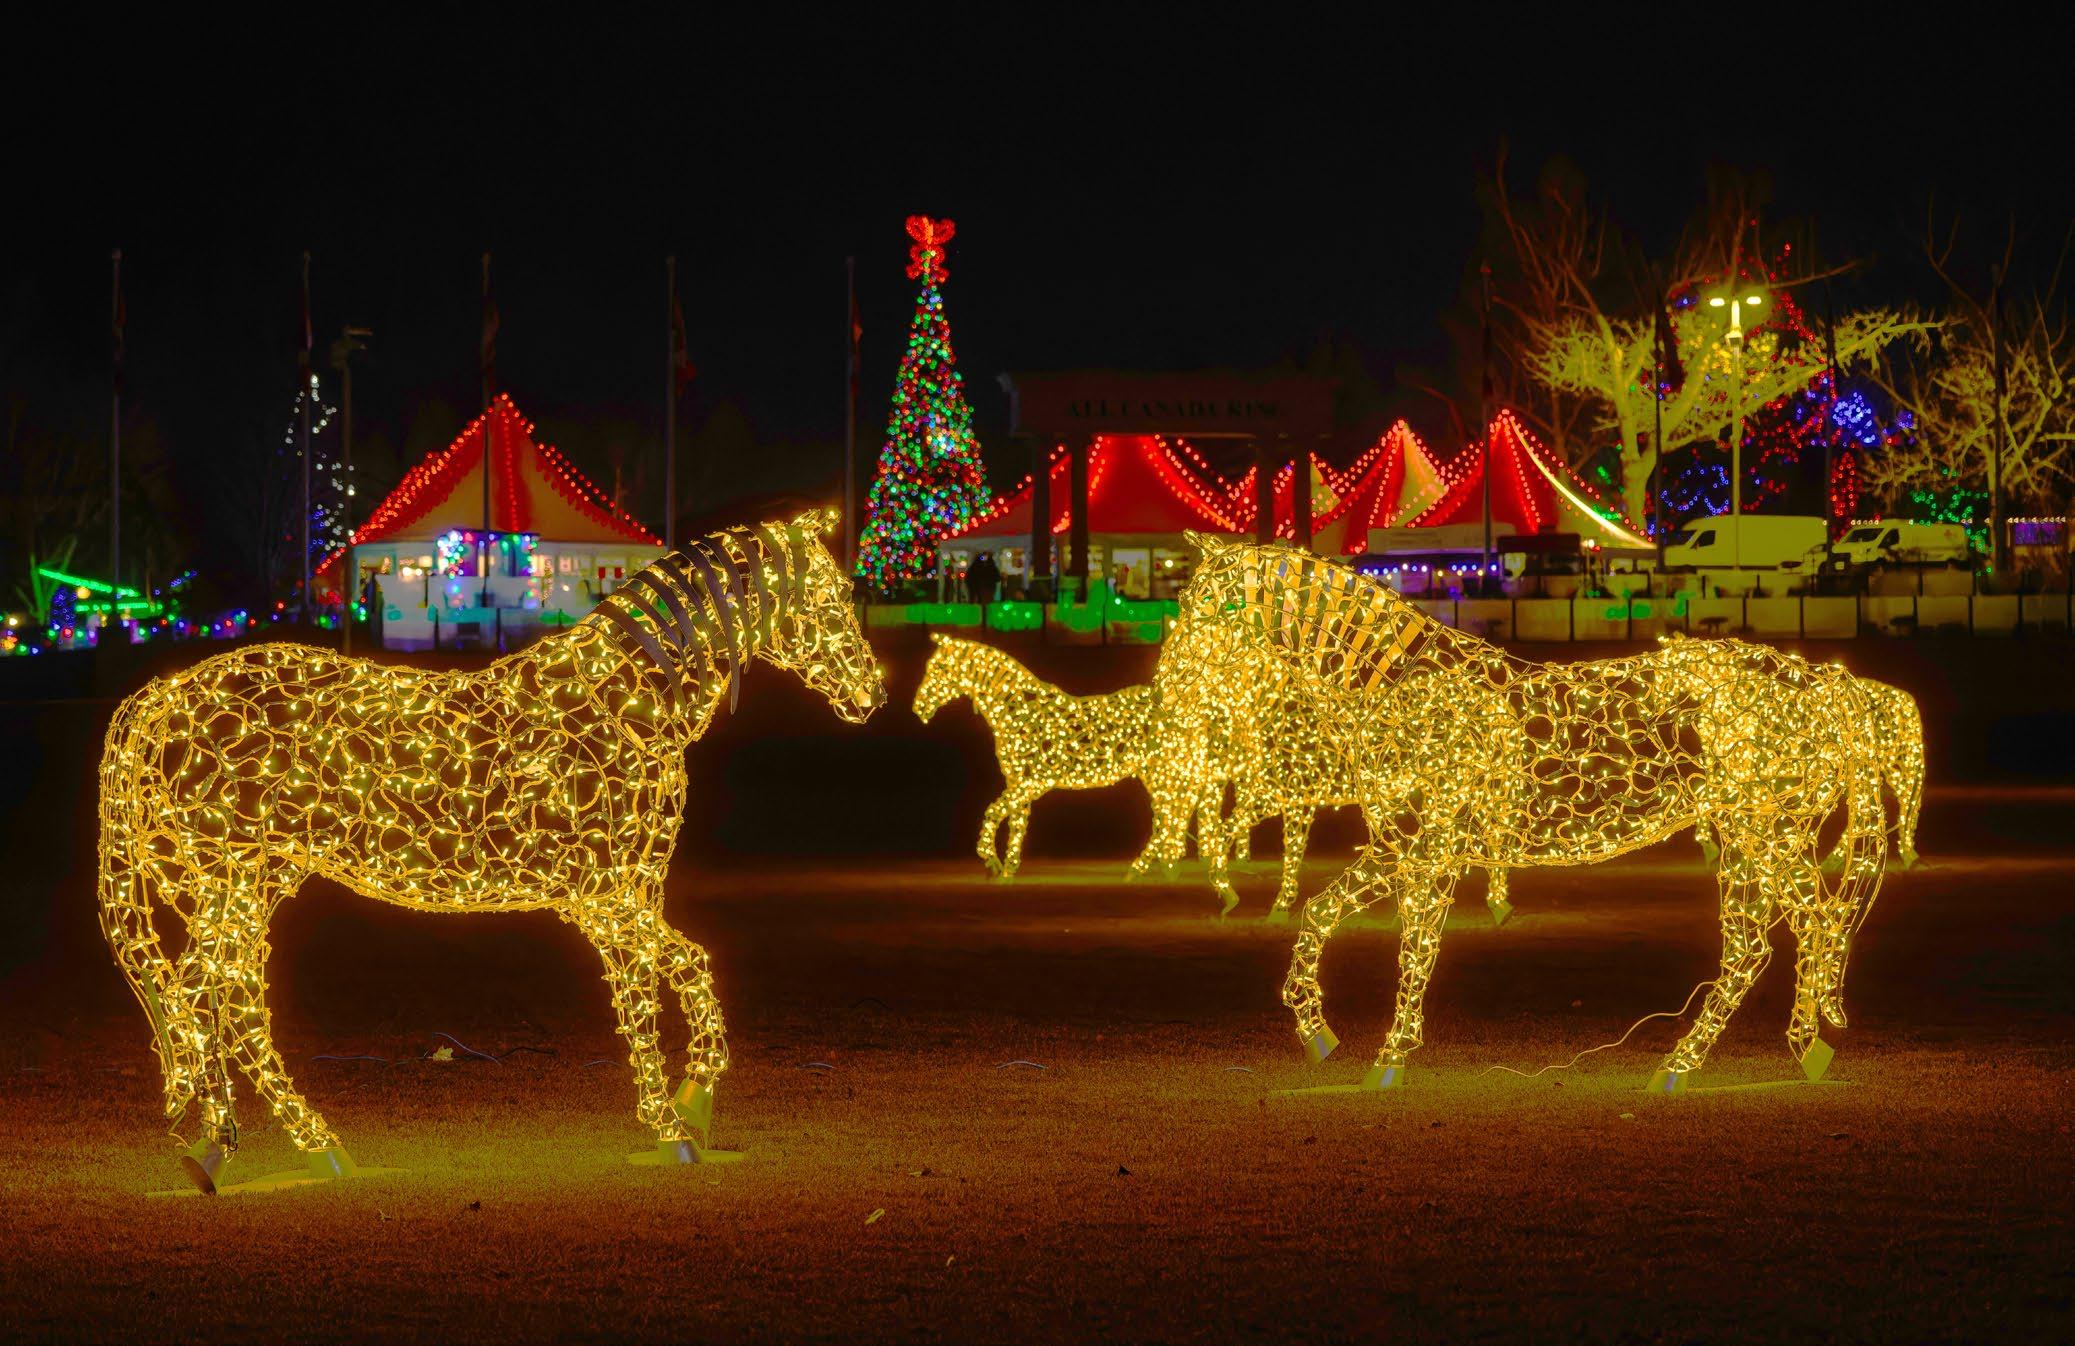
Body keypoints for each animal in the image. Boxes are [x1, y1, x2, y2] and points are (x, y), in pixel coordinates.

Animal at [99, 509, 884, 1191]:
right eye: (830, 598)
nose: (871, 694)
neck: (626, 705)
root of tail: (162, 695)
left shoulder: (627, 894)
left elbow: (683, 973)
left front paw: (695, 1100)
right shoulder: (604, 896)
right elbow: (649, 994)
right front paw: (673, 1124)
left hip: (247, 882)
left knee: (211, 997)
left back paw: (262, 1145)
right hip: (230, 875)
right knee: (214, 999)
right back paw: (253, 1143)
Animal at [914, 635, 1156, 877]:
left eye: (939, 667)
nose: (919, 707)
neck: (1016, 714)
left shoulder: (1032, 782)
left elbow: (994, 811)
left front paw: (991, 859)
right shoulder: (1018, 781)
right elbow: (1017, 823)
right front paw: (1008, 869)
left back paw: (1142, 868)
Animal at [1162, 534, 1903, 1093]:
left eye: (1219, 603)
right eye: (1184, 602)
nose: (1170, 681)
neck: (1399, 689)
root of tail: (1816, 677)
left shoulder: (1427, 848)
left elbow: (1410, 949)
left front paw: (1388, 1054)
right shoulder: (1400, 847)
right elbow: (1321, 918)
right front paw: (1318, 1029)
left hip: (1765, 833)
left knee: (1786, 935)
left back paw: (1710, 1059)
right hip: (1759, 839)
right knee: (1787, 936)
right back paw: (1777, 1048)